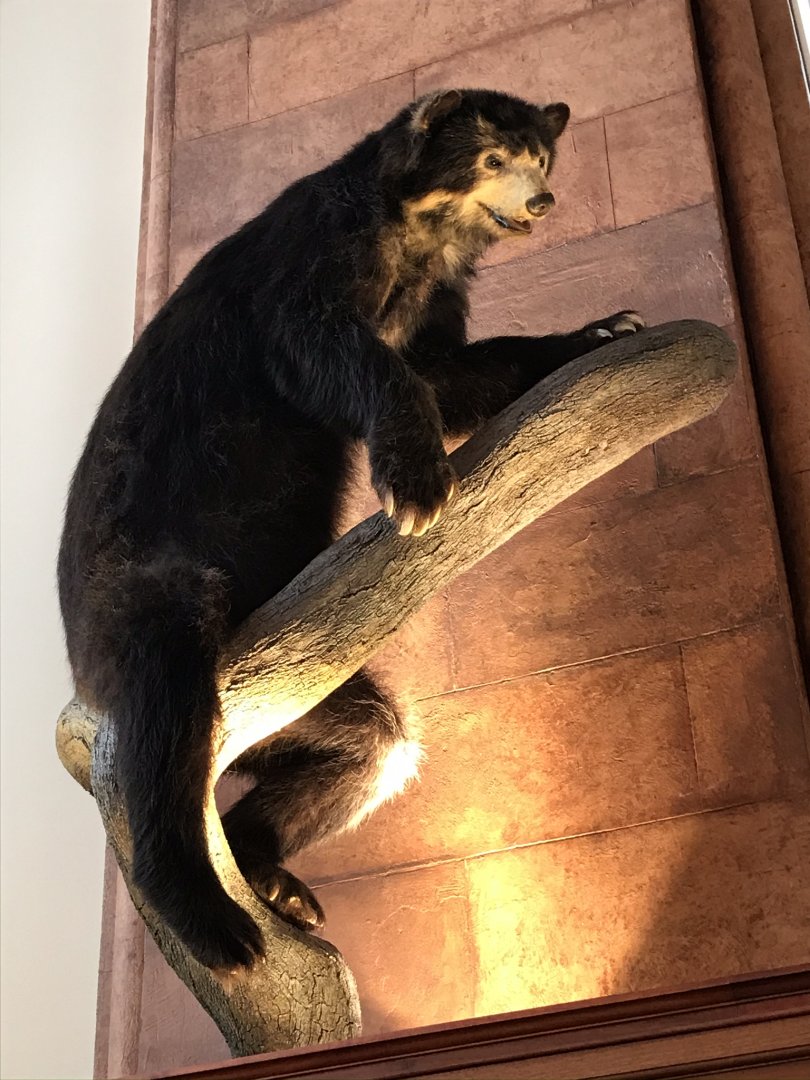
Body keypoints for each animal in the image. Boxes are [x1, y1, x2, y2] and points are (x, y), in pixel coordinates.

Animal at [58, 88, 644, 972]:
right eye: (492, 158)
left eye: (541, 157)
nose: (542, 201)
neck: (419, 237)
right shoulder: (314, 253)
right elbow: (324, 346)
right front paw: (416, 486)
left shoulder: (430, 297)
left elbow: (448, 370)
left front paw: (604, 329)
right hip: (137, 595)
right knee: (168, 699)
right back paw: (213, 918)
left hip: (298, 696)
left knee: (374, 741)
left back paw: (271, 875)